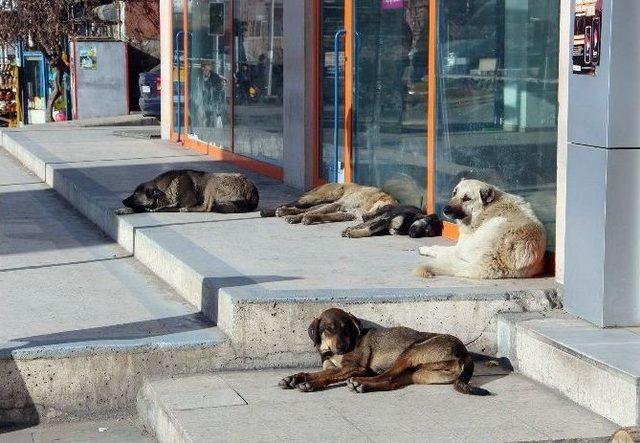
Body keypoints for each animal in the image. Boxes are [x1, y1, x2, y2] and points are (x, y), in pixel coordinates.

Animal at [115, 169, 258, 214]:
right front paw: (123, 210)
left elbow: (164, 208)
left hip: (212, 183)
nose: (122, 201)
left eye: (135, 194)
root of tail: (251, 189)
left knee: (207, 207)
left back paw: (187, 209)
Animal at [416, 180, 544, 278]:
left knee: (447, 253)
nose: (445, 210)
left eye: (467, 198)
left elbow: (440, 249)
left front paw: (426, 248)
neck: (485, 209)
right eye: (454, 193)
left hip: (464, 248)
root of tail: (497, 258)